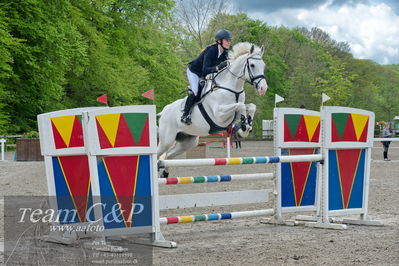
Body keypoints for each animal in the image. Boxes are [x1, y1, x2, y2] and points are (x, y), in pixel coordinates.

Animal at [158, 42, 268, 178]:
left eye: (263, 65)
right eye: (252, 65)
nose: (263, 88)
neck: (232, 87)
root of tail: (165, 111)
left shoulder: (234, 111)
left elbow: (250, 106)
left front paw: (245, 127)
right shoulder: (219, 115)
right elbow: (240, 106)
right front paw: (244, 126)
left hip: (187, 142)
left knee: (168, 156)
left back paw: (164, 174)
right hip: (166, 140)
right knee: (159, 153)